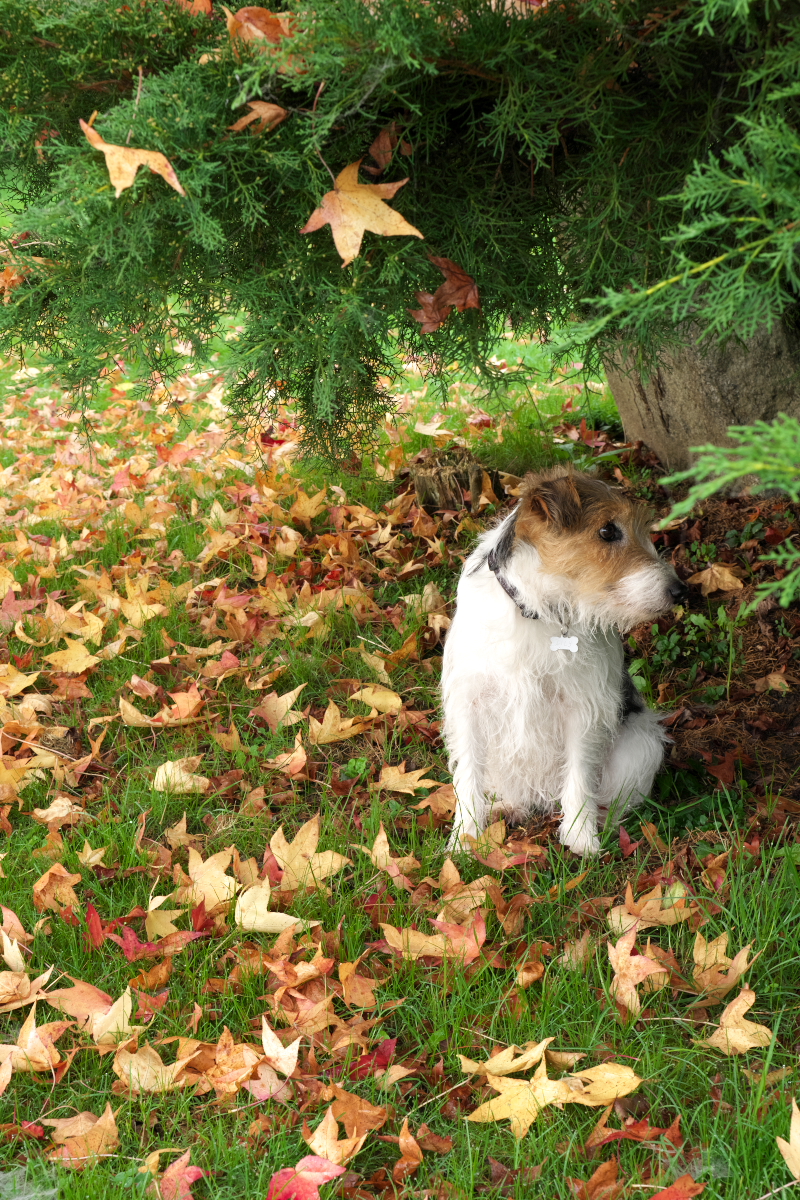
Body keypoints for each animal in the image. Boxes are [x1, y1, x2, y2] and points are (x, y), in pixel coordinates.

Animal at [441, 463, 686, 859]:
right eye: (607, 530)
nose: (681, 591)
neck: (538, 612)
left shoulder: (581, 709)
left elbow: (579, 775)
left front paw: (580, 837)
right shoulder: (469, 705)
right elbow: (467, 778)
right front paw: (465, 837)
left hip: (641, 748)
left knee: (612, 801)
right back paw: (508, 808)